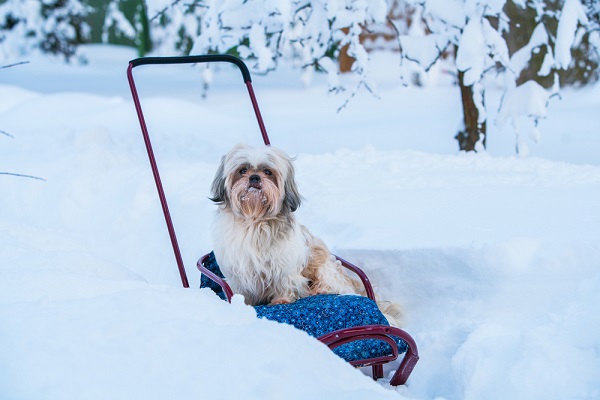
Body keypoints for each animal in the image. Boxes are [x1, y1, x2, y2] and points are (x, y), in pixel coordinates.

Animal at [209, 144, 400, 324]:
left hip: (325, 266)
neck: (255, 220)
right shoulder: (238, 268)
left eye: (267, 172)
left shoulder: (285, 263)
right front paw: (241, 305)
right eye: (242, 170)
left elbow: (284, 281)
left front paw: (281, 300)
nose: (254, 177)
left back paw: (318, 289)